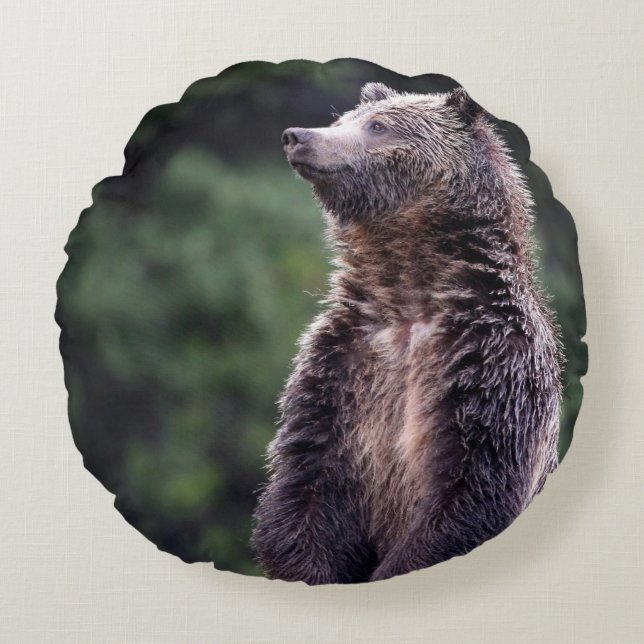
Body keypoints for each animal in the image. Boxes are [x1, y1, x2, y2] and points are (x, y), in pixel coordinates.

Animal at [251, 82, 563, 584]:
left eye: (378, 126)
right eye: (342, 120)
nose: (296, 135)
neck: (409, 291)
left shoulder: (492, 366)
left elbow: (471, 490)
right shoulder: (340, 365)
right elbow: (306, 482)